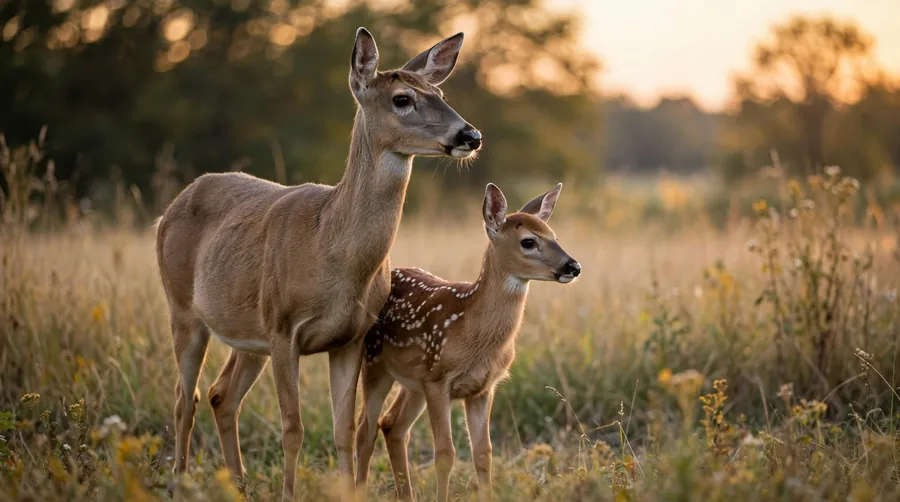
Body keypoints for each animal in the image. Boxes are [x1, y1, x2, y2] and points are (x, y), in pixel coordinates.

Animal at [154, 28, 481, 501]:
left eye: (439, 93)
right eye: (402, 98)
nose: (470, 134)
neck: (332, 250)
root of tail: (168, 211)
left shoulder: (350, 337)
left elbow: (343, 430)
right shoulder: (283, 328)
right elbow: (293, 429)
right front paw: (289, 493)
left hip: (246, 332)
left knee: (220, 395)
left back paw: (238, 485)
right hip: (183, 308)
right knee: (186, 397)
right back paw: (180, 481)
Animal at [354, 182, 581, 502]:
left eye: (555, 236)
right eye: (528, 241)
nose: (573, 266)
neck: (473, 332)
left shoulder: (482, 388)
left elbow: (483, 453)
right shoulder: (439, 380)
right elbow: (445, 453)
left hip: (414, 381)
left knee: (392, 426)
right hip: (376, 363)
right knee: (365, 430)